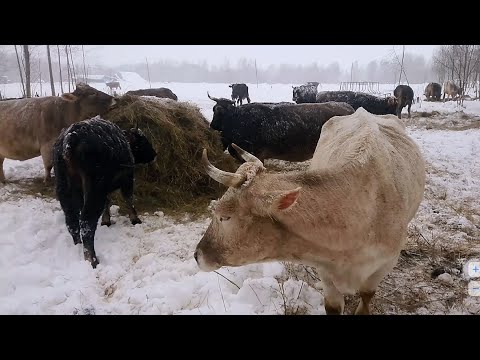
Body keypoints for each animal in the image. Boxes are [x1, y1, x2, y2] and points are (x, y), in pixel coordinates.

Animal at [53, 115, 157, 268]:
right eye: (143, 141)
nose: (154, 154)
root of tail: (72, 137)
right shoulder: (127, 179)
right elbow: (128, 199)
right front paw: (135, 219)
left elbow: (108, 202)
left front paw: (106, 220)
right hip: (94, 192)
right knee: (86, 222)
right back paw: (92, 259)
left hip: (65, 189)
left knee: (71, 220)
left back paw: (78, 246)